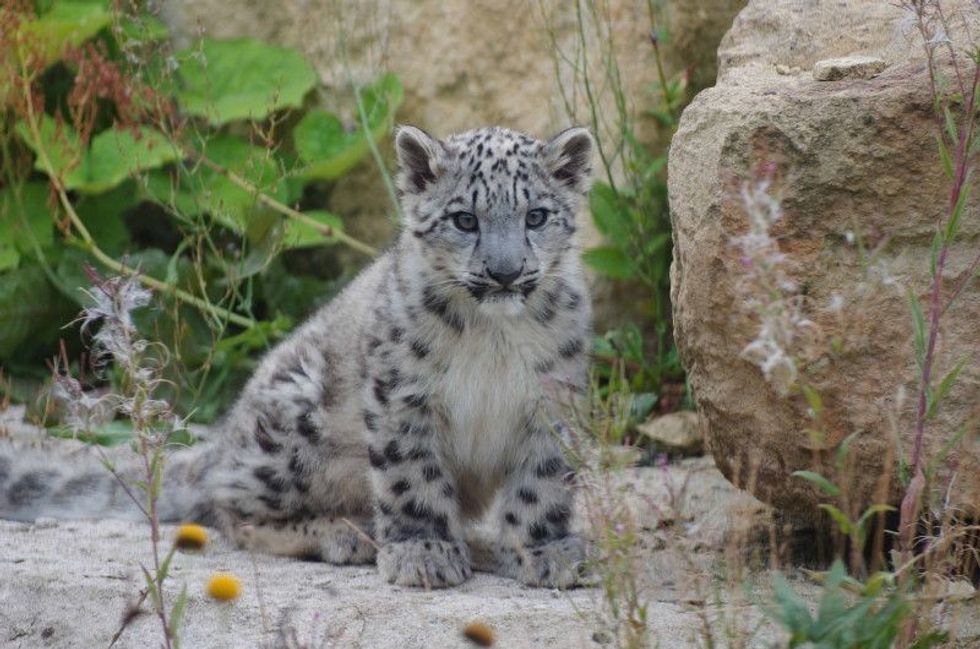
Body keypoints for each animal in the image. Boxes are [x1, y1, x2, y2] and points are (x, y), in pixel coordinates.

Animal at [0, 124, 595, 589]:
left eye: (537, 216)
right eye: (465, 220)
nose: (505, 272)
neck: (493, 340)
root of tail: (223, 441)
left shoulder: (553, 398)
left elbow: (541, 483)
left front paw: (546, 552)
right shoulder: (403, 396)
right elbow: (412, 477)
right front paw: (422, 553)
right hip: (291, 427)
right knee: (229, 511)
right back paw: (345, 533)